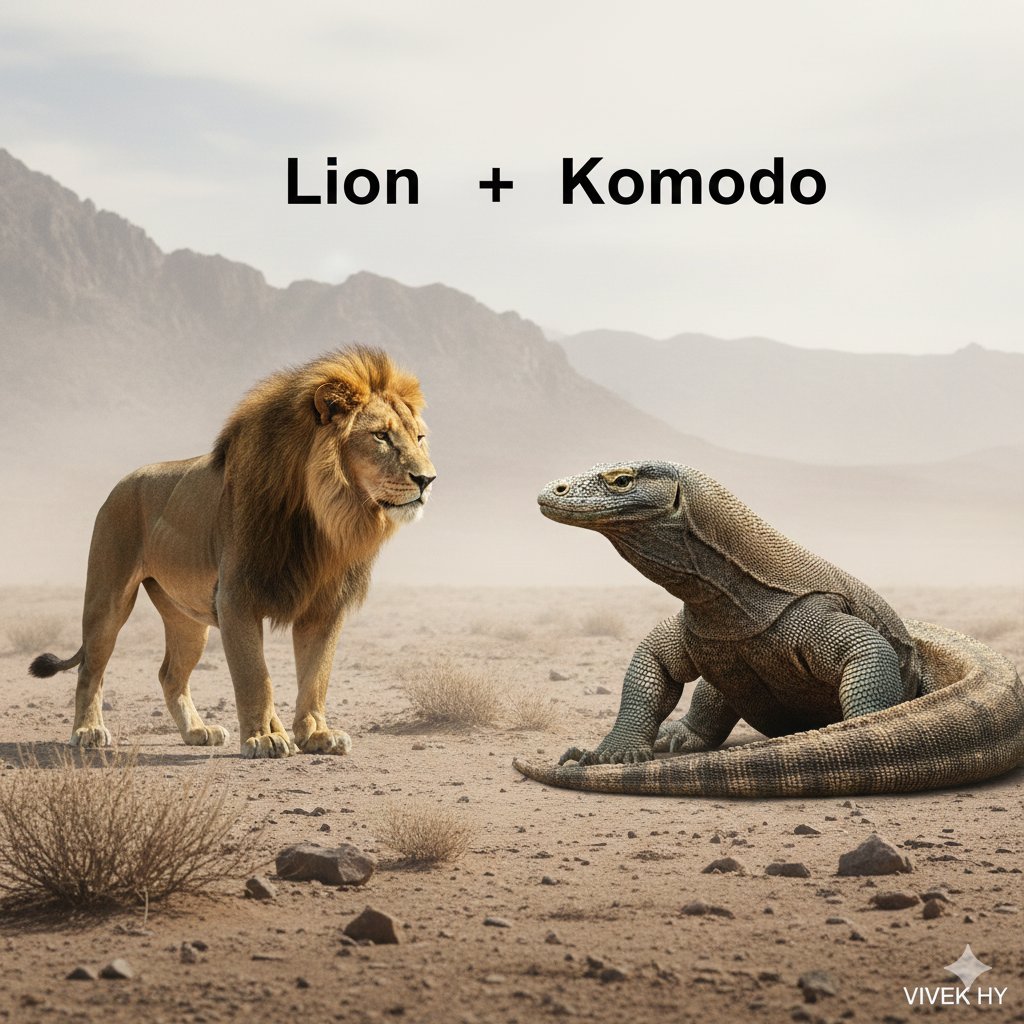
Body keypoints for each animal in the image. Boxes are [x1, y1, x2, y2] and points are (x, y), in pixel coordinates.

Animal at [29, 346, 435, 759]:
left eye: (419, 438)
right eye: (381, 436)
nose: (427, 479)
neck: (325, 518)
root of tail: (120, 484)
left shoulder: (325, 605)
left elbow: (316, 676)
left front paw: (316, 735)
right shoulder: (236, 597)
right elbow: (255, 675)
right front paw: (265, 738)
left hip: (186, 620)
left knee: (170, 674)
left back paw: (197, 731)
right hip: (108, 596)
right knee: (91, 668)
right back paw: (88, 731)